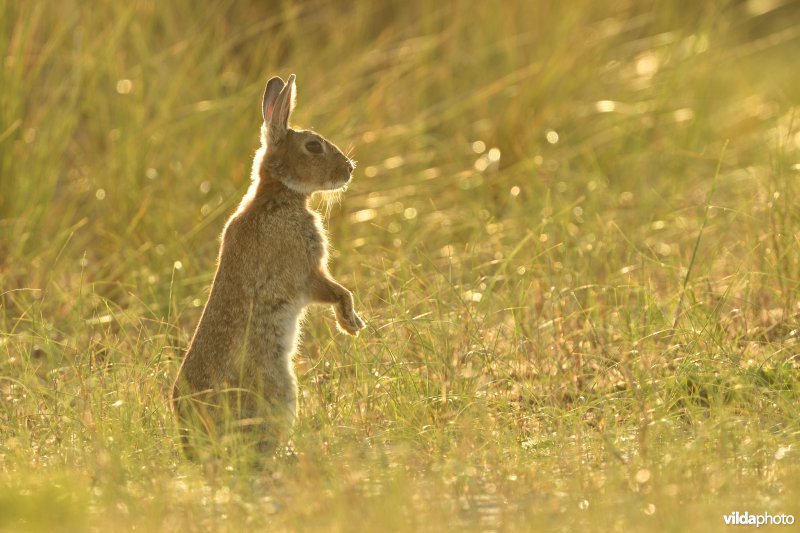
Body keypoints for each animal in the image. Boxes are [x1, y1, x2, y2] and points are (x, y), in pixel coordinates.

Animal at [173, 72, 368, 450]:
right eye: (313, 146)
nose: (349, 169)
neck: (278, 196)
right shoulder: (307, 272)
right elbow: (338, 292)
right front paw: (351, 324)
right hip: (281, 389)